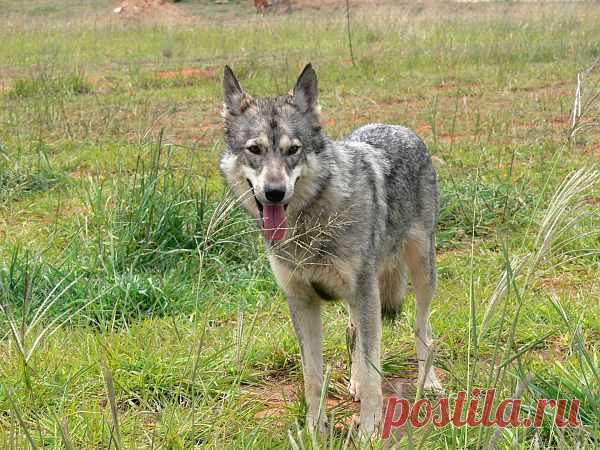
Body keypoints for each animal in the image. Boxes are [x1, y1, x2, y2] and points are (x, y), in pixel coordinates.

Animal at [219, 64, 440, 440]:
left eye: (293, 149)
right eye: (255, 149)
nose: (274, 193)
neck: (310, 224)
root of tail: (399, 127)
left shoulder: (364, 293)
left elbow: (373, 371)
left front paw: (369, 432)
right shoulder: (302, 300)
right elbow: (312, 377)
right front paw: (314, 430)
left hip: (419, 273)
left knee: (421, 330)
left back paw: (430, 383)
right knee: (354, 335)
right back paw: (354, 381)